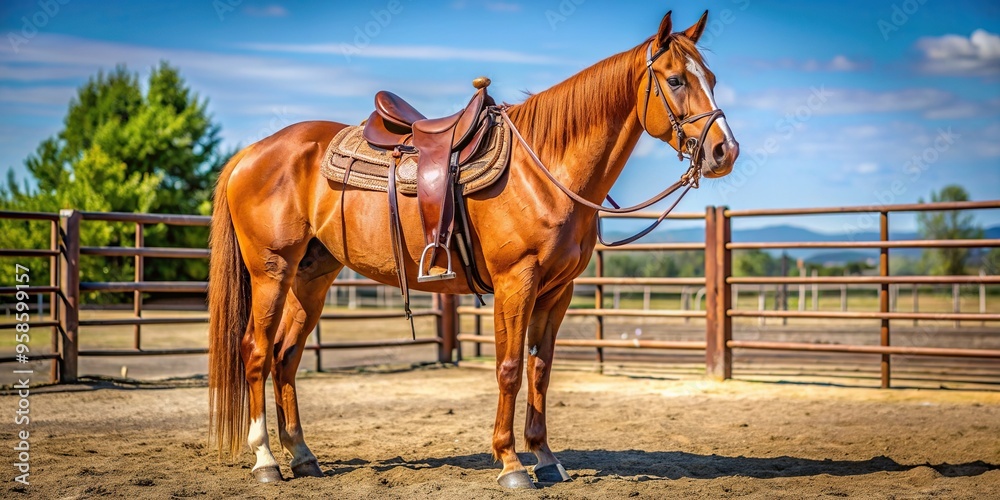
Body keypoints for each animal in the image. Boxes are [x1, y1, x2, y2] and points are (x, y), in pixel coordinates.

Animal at [208, 10, 739, 489]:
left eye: (712, 79)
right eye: (675, 80)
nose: (725, 151)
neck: (544, 168)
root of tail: (252, 152)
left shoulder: (557, 291)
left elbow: (540, 370)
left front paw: (545, 458)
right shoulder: (516, 281)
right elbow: (508, 369)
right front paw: (510, 463)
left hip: (312, 277)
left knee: (286, 356)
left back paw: (302, 456)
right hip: (272, 271)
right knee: (256, 351)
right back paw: (266, 461)